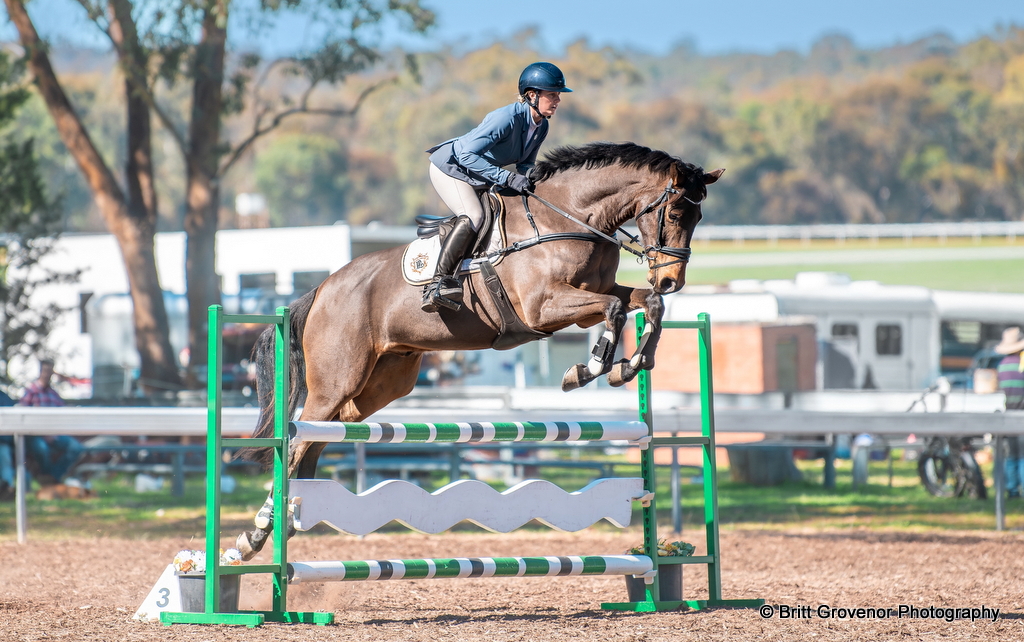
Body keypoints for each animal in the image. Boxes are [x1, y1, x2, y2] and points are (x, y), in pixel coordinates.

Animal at [235, 141, 723, 559]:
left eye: (699, 216)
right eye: (675, 210)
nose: (672, 279)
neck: (567, 220)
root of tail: (321, 289)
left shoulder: (588, 303)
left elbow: (643, 304)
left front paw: (633, 363)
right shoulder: (544, 308)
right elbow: (616, 309)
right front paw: (589, 369)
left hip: (380, 384)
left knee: (317, 440)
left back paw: (289, 518)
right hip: (335, 382)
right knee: (298, 442)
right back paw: (254, 536)